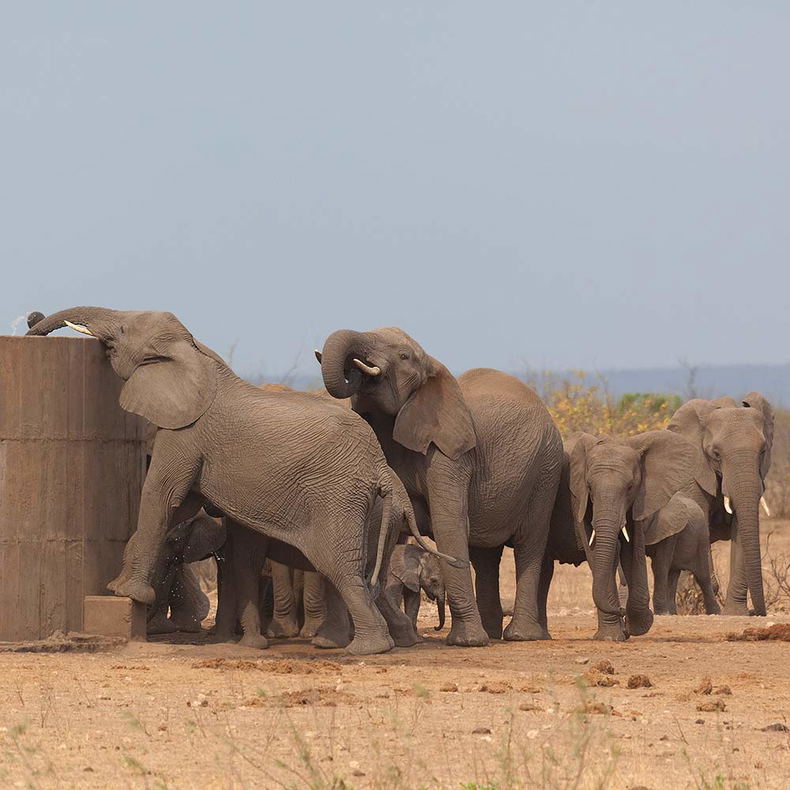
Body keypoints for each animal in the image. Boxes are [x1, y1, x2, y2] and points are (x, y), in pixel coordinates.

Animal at [27, 308, 461, 655]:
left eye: (119, 330)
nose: (32, 320)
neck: (194, 351)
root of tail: (380, 466)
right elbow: (182, 508)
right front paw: (121, 589)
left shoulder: (185, 433)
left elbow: (162, 496)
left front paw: (123, 592)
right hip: (370, 510)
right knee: (363, 571)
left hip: (338, 499)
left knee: (340, 568)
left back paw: (364, 649)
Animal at [318, 327, 564, 644]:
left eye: (403, 356)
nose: (355, 369)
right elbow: (391, 519)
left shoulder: (449, 453)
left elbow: (449, 524)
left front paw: (467, 643)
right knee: (485, 556)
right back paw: (492, 633)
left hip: (546, 469)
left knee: (529, 544)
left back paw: (519, 636)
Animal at [546, 430, 703, 640]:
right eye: (589, 487)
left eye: (630, 487)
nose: (621, 610)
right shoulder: (578, 500)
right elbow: (596, 554)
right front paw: (613, 636)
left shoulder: (640, 500)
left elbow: (632, 552)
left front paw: (637, 625)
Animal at [667, 394, 774, 616]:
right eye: (716, 454)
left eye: (763, 451)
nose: (756, 611)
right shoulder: (693, 474)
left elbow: (741, 531)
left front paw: (735, 613)